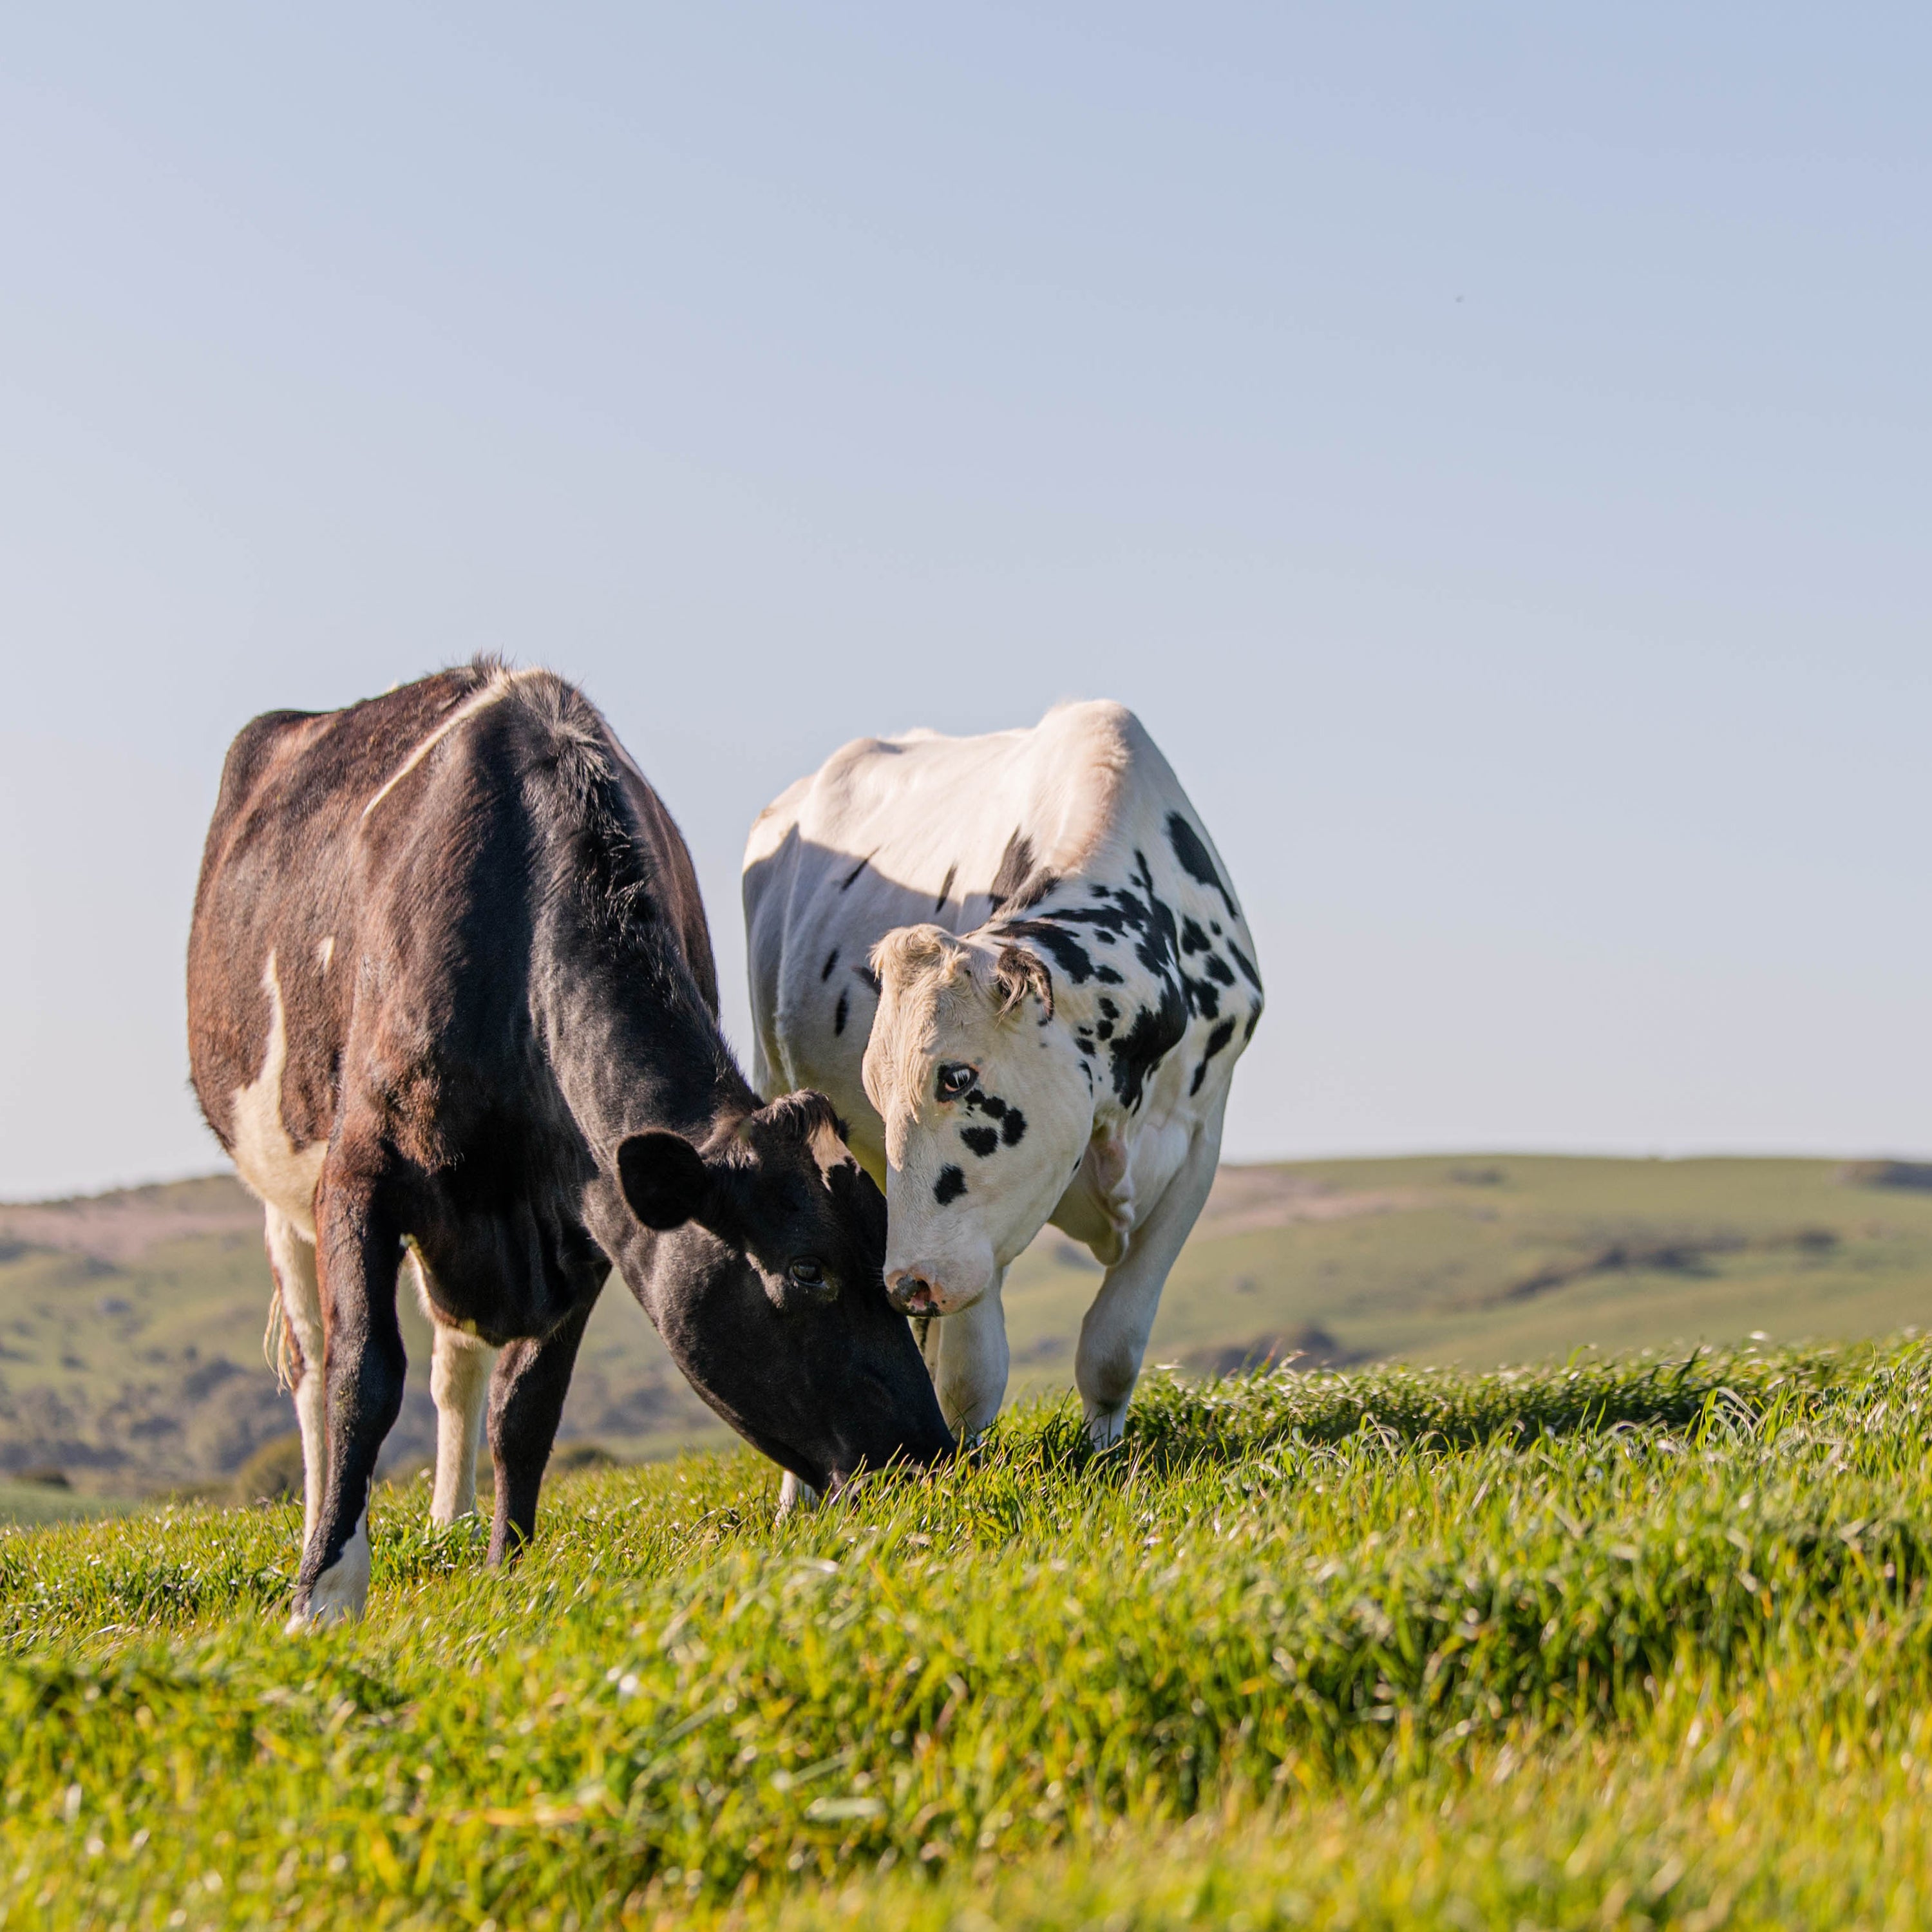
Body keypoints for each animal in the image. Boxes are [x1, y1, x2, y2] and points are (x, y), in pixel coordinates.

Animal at [188, 662, 952, 1629]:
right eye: (808, 1271)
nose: (929, 1456)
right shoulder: (360, 1175)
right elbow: (364, 1373)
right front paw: (325, 1593)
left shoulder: (586, 1218)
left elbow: (525, 1409)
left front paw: (505, 1569)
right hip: (280, 1186)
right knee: (312, 1364)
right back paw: (317, 1525)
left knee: (454, 1363)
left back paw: (449, 1520)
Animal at [743, 699, 1260, 1482]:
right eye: (877, 1093)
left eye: (956, 1076)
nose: (906, 1285)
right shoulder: (973, 1236)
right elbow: (972, 1377)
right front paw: (969, 1475)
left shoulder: (1200, 1140)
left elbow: (1114, 1343)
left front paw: (1104, 1454)